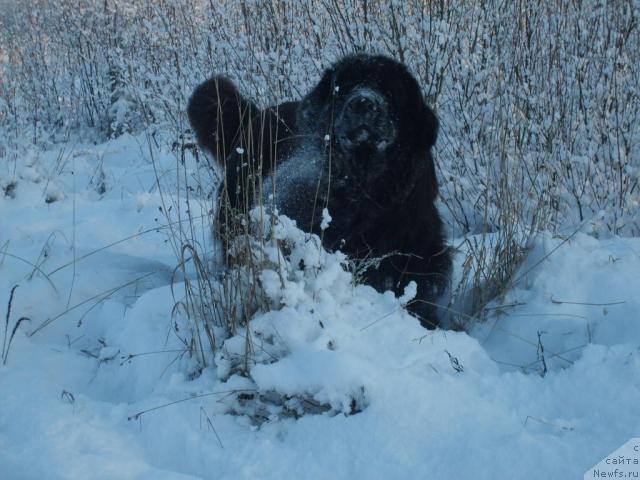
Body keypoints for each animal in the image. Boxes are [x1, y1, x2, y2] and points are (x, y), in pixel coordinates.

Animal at [188, 53, 452, 330]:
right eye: (342, 88)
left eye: (389, 91)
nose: (363, 102)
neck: (363, 184)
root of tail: (255, 116)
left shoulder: (416, 243)